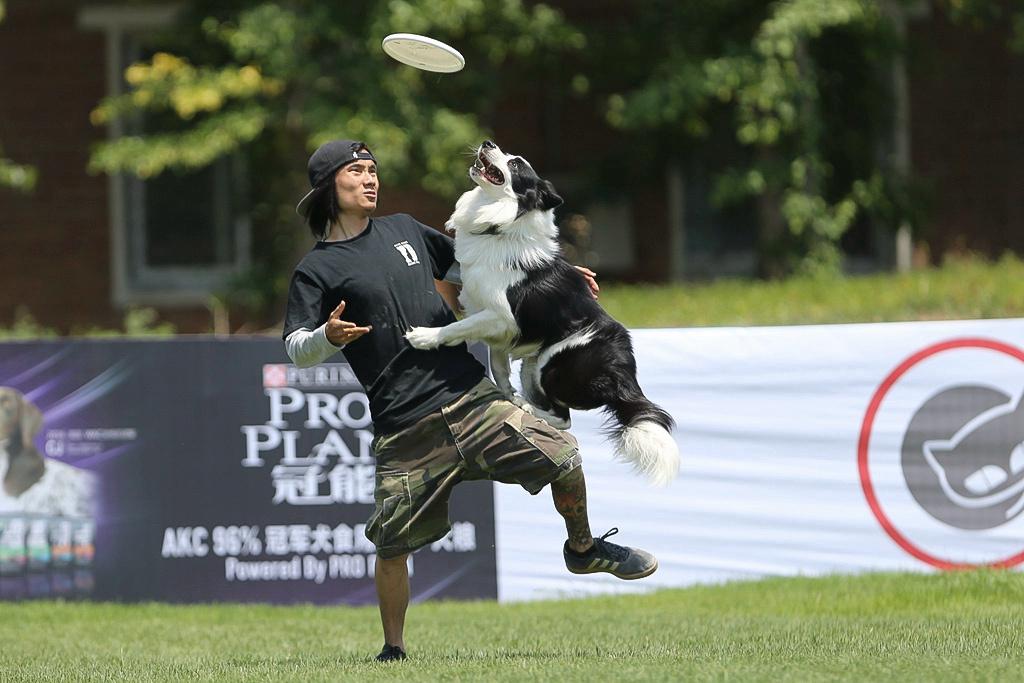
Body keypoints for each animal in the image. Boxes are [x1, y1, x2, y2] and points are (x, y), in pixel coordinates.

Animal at [405, 140, 679, 485]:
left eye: (516, 164)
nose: (488, 143)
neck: (502, 225)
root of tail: (626, 374)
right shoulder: (484, 303)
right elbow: (498, 365)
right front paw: (501, 395)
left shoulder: (501, 316)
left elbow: (458, 327)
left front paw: (424, 337)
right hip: (533, 366)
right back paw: (518, 403)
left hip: (554, 361)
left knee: (563, 418)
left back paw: (526, 407)